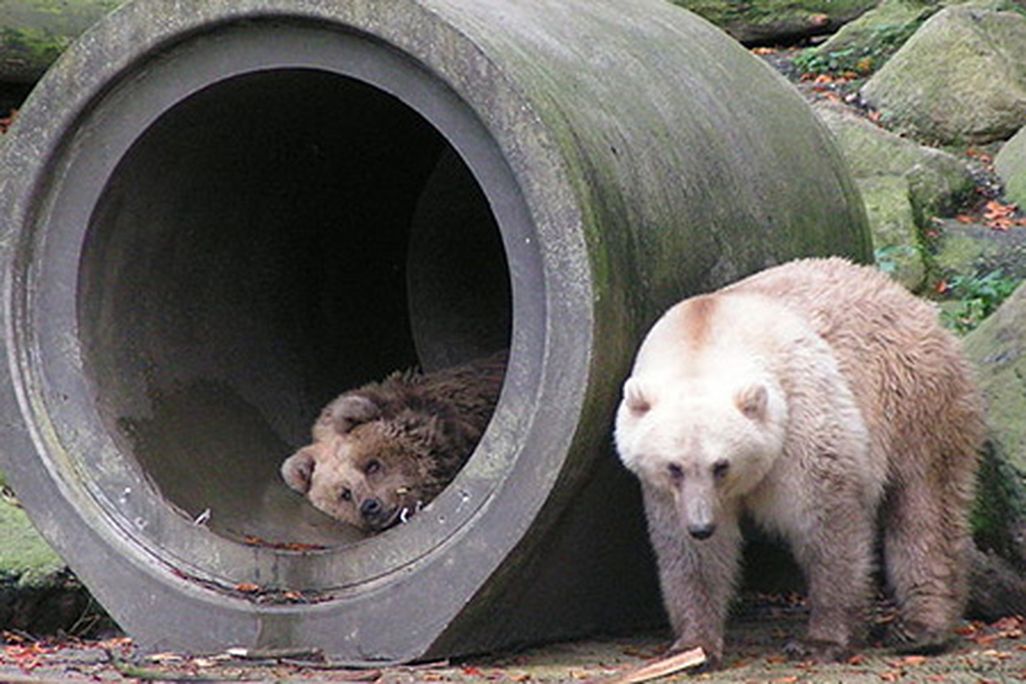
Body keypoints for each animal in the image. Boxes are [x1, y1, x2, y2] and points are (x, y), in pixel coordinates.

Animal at [614, 257, 984, 668]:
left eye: (721, 465)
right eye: (673, 467)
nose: (702, 525)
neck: (706, 337)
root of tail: (910, 298)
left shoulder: (801, 419)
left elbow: (827, 526)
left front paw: (822, 641)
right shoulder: (664, 491)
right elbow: (691, 556)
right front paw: (693, 647)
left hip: (914, 397)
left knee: (924, 507)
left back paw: (921, 628)